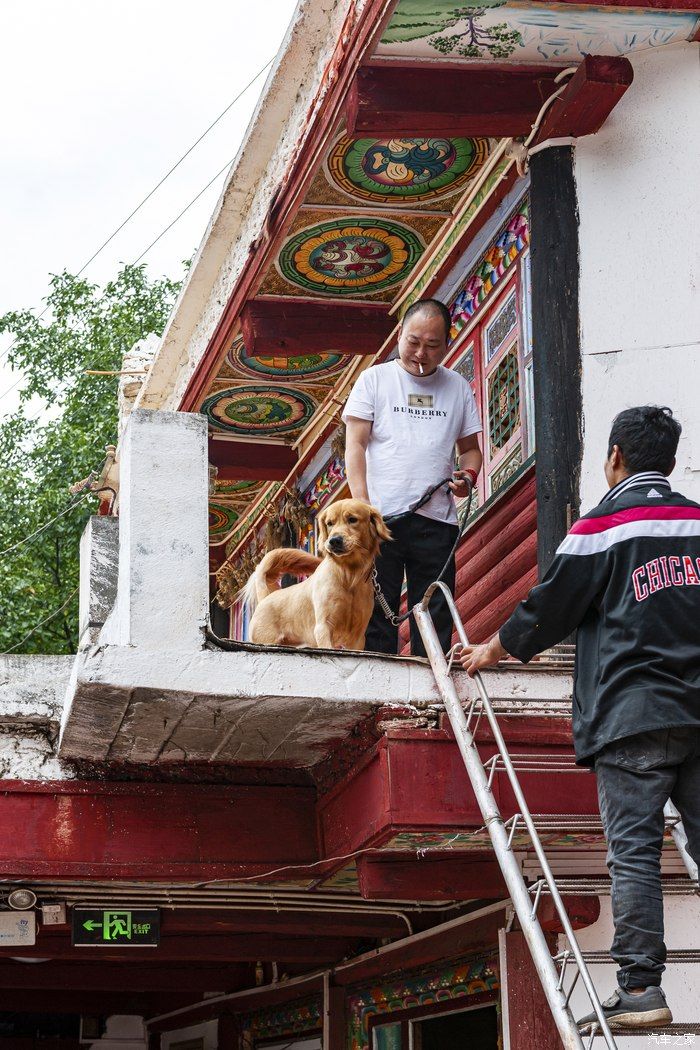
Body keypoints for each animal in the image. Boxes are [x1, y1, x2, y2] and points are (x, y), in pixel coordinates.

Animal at [243, 497, 392, 646]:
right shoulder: (323, 627)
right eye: (329, 523)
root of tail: (266, 597)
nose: (334, 541)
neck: (348, 576)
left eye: (352, 519)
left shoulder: (357, 636)